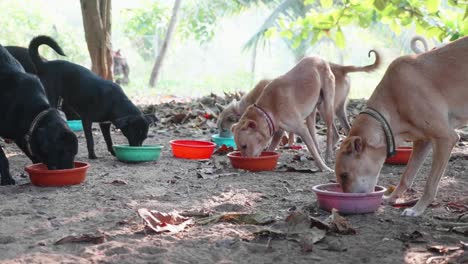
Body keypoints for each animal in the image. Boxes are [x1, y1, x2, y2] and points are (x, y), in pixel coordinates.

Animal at [0, 44, 77, 185]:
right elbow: (3, 158)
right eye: (64, 151)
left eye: (74, 152)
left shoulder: (21, 134)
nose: (70, 170)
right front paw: (7, 178)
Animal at [233, 50, 380, 172]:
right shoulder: (278, 130)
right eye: (239, 148)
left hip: (326, 106)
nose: (245, 165)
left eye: (244, 146)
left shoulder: (301, 129)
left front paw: (323, 167)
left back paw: (327, 155)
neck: (269, 108)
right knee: (316, 135)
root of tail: (324, 60)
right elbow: (272, 146)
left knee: (331, 133)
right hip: (313, 110)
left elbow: (312, 149)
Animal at [334, 35, 466, 217]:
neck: (395, 94)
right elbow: (406, 176)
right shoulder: (423, 141)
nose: (346, 205)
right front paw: (392, 198)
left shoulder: (445, 138)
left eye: (345, 175)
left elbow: (430, 184)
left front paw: (417, 209)